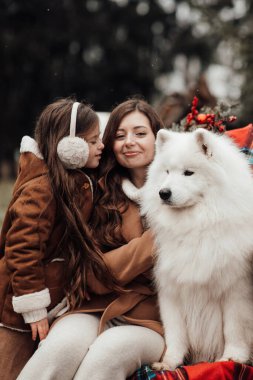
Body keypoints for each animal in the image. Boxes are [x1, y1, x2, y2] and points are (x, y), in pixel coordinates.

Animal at [141, 128, 253, 372]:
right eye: (167, 171)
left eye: (188, 173)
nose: (163, 193)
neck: (196, 225)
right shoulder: (170, 289)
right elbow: (175, 332)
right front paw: (169, 363)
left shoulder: (235, 288)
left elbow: (233, 328)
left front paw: (233, 357)